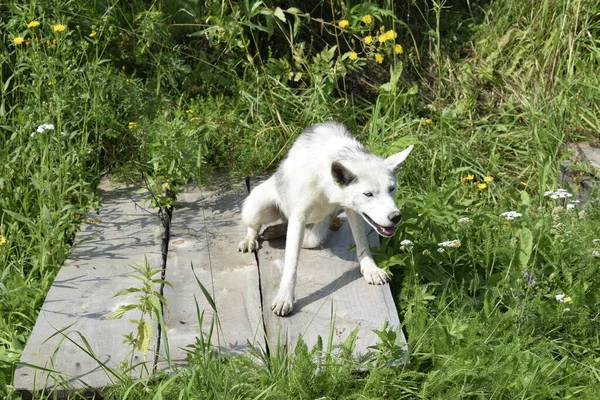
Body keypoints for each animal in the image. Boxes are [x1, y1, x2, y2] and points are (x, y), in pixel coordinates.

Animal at [239, 121, 412, 316]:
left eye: (392, 189)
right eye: (368, 194)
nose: (396, 217)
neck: (325, 185)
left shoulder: (352, 211)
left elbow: (362, 245)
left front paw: (371, 270)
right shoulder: (298, 216)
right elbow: (291, 264)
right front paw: (285, 297)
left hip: (321, 225)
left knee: (307, 235)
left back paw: (274, 231)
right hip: (257, 208)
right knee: (255, 226)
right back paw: (251, 239)